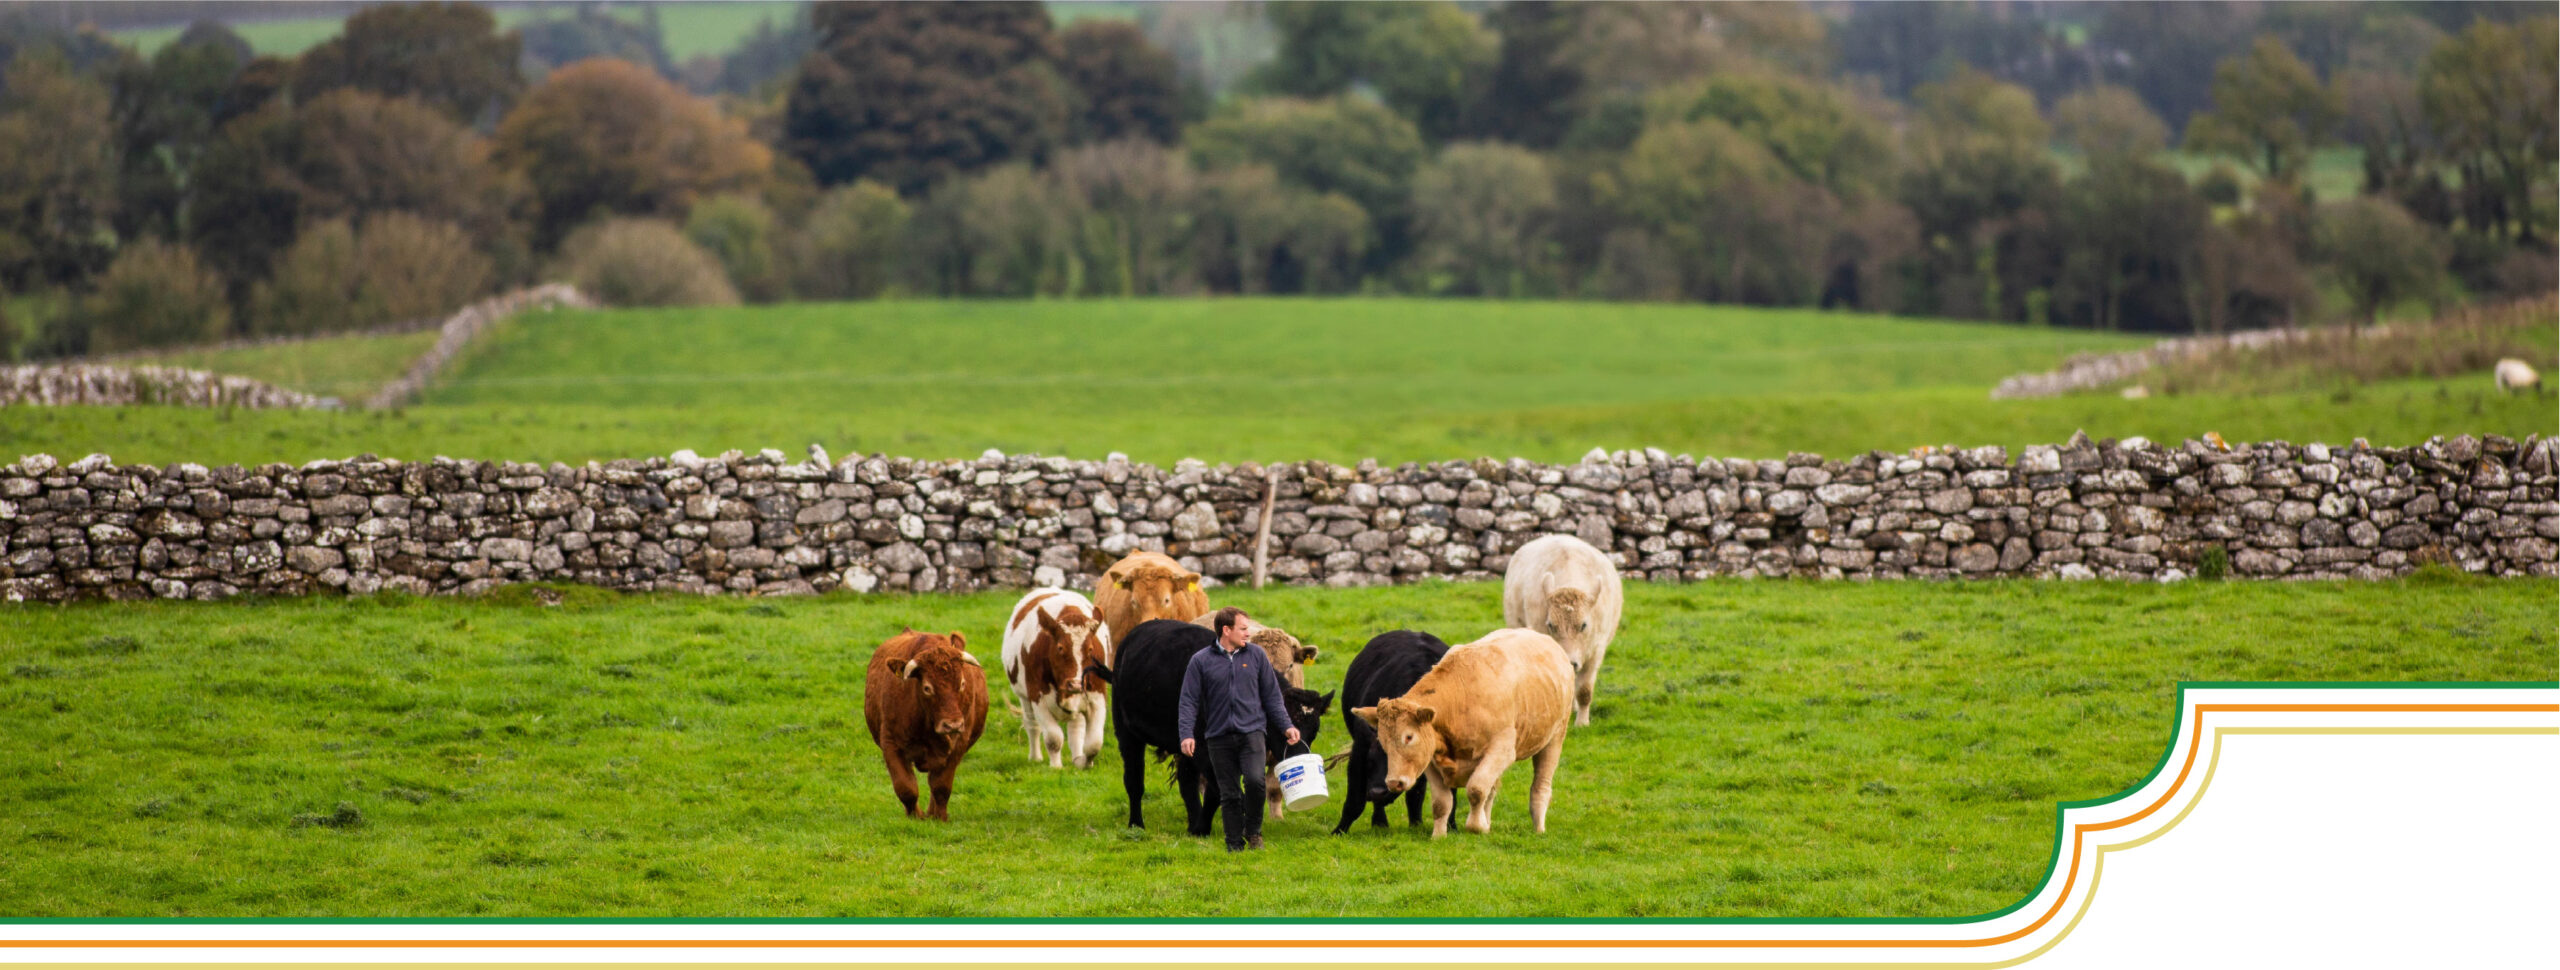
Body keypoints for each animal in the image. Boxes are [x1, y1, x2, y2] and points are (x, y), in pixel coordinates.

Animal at [860, 629, 977, 818]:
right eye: (927, 688)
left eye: (962, 683)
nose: (952, 725)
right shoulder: (891, 744)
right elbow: (906, 788)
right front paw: (915, 817)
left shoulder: (958, 746)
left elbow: (941, 787)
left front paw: (940, 817)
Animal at [1003, 588, 1116, 772]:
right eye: (1060, 647)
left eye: (1090, 649)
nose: (1075, 683)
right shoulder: (1038, 697)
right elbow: (1053, 738)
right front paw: (1056, 766)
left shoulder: (1098, 697)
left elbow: (1094, 743)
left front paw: (1084, 763)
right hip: (1023, 696)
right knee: (1031, 725)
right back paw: (1035, 757)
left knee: (1076, 728)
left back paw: (1076, 756)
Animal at [1090, 621, 1331, 834]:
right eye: (1284, 730)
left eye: (1313, 732)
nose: (1299, 757)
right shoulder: (1206, 751)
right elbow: (1222, 791)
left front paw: (1201, 828)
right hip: (1127, 733)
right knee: (1134, 780)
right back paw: (1136, 824)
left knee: (1187, 782)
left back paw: (1192, 823)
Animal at [1331, 629, 1454, 834]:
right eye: (1371, 760)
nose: (1378, 791)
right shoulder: (1360, 751)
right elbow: (1355, 802)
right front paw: (1339, 831)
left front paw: (1451, 828)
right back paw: (1380, 822)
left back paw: (1414, 823)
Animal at [1495, 534, 1617, 726]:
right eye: (1551, 625)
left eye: (1584, 625)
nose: (1570, 661)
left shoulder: (1596, 651)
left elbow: (1584, 691)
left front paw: (1582, 722)